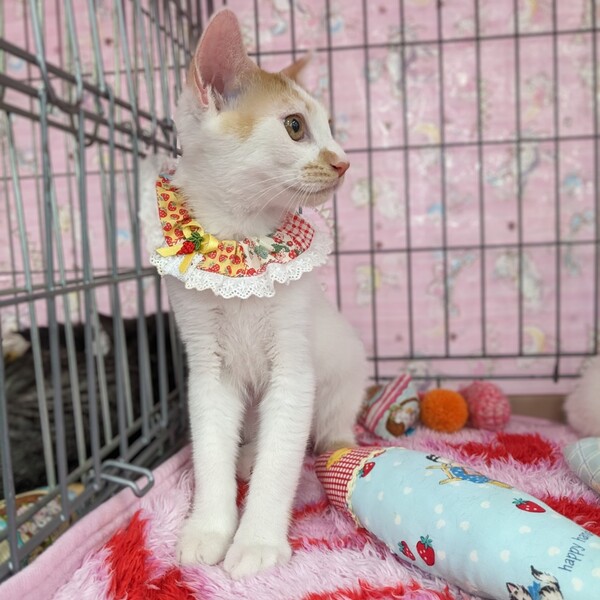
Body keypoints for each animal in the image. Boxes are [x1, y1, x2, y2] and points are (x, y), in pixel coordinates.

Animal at [140, 9, 367, 579]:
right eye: (295, 127)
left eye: (331, 128)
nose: (344, 161)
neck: (239, 238)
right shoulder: (207, 366)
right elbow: (210, 450)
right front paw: (208, 529)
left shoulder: (294, 367)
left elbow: (281, 456)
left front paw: (258, 541)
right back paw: (244, 455)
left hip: (347, 371)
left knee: (325, 429)